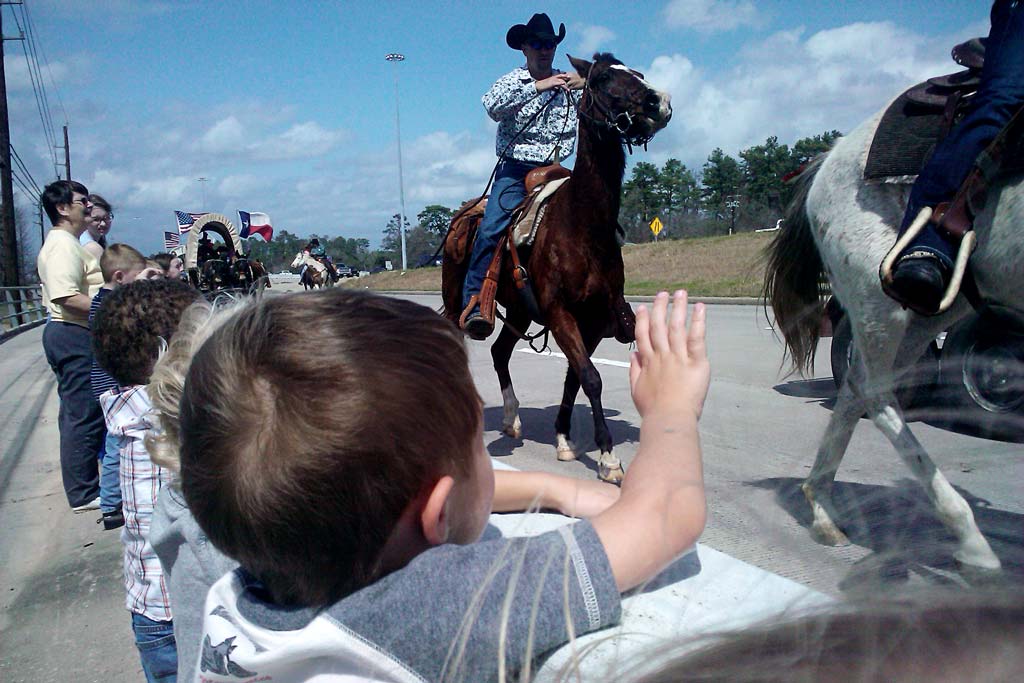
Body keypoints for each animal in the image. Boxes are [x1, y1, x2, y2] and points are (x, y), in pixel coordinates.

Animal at [440, 53, 671, 481]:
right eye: (601, 79)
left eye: (639, 73)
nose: (658, 102)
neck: (581, 225)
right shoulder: (560, 312)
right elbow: (592, 378)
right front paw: (608, 458)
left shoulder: (592, 320)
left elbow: (576, 378)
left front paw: (565, 439)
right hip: (456, 301)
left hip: (518, 310)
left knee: (500, 351)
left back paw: (512, 418)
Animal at [765, 101, 1019, 573]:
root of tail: (827, 158)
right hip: (884, 302)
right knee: (874, 392)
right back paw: (970, 536)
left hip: (930, 308)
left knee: (857, 389)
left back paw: (823, 509)